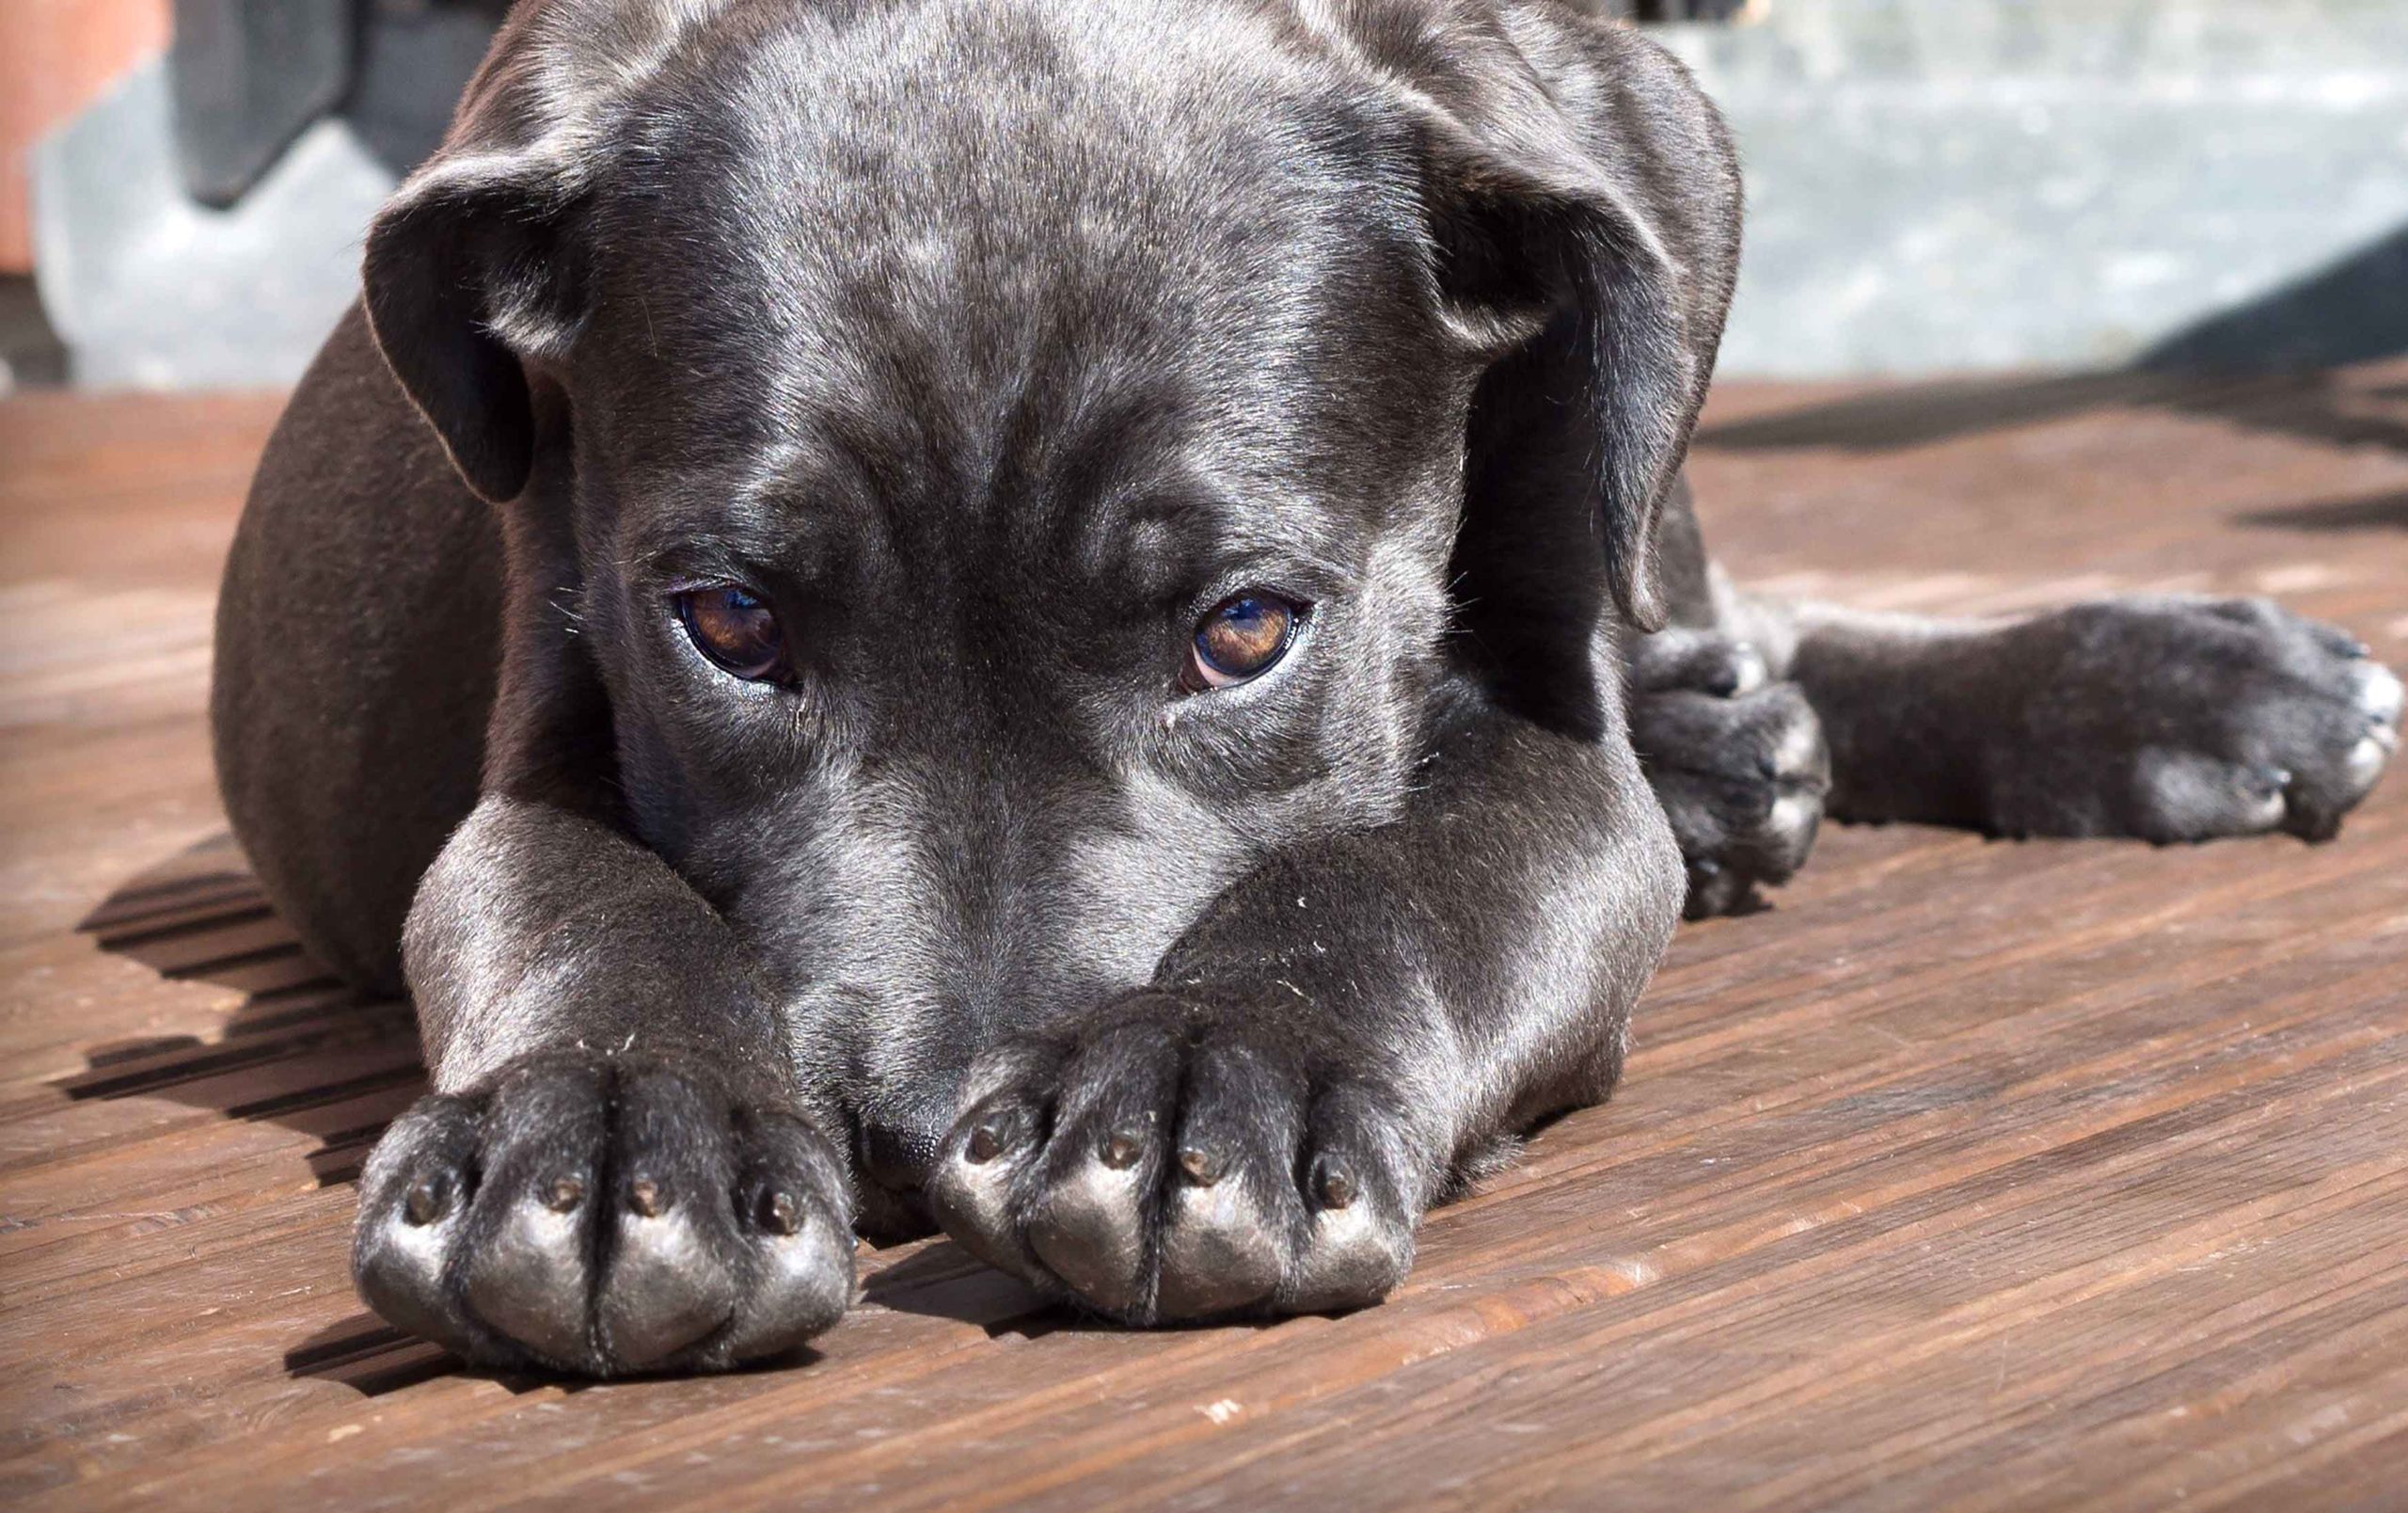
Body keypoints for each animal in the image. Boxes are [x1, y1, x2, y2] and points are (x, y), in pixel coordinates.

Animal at [216, 0, 2398, 1378]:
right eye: (732, 624)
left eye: (1246, 631)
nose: (915, 1141)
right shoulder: (545, 705)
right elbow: (575, 899)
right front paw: (603, 1135)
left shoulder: (1543, 742)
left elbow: (1401, 876)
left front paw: (1216, 1073)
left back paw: (2166, 684)